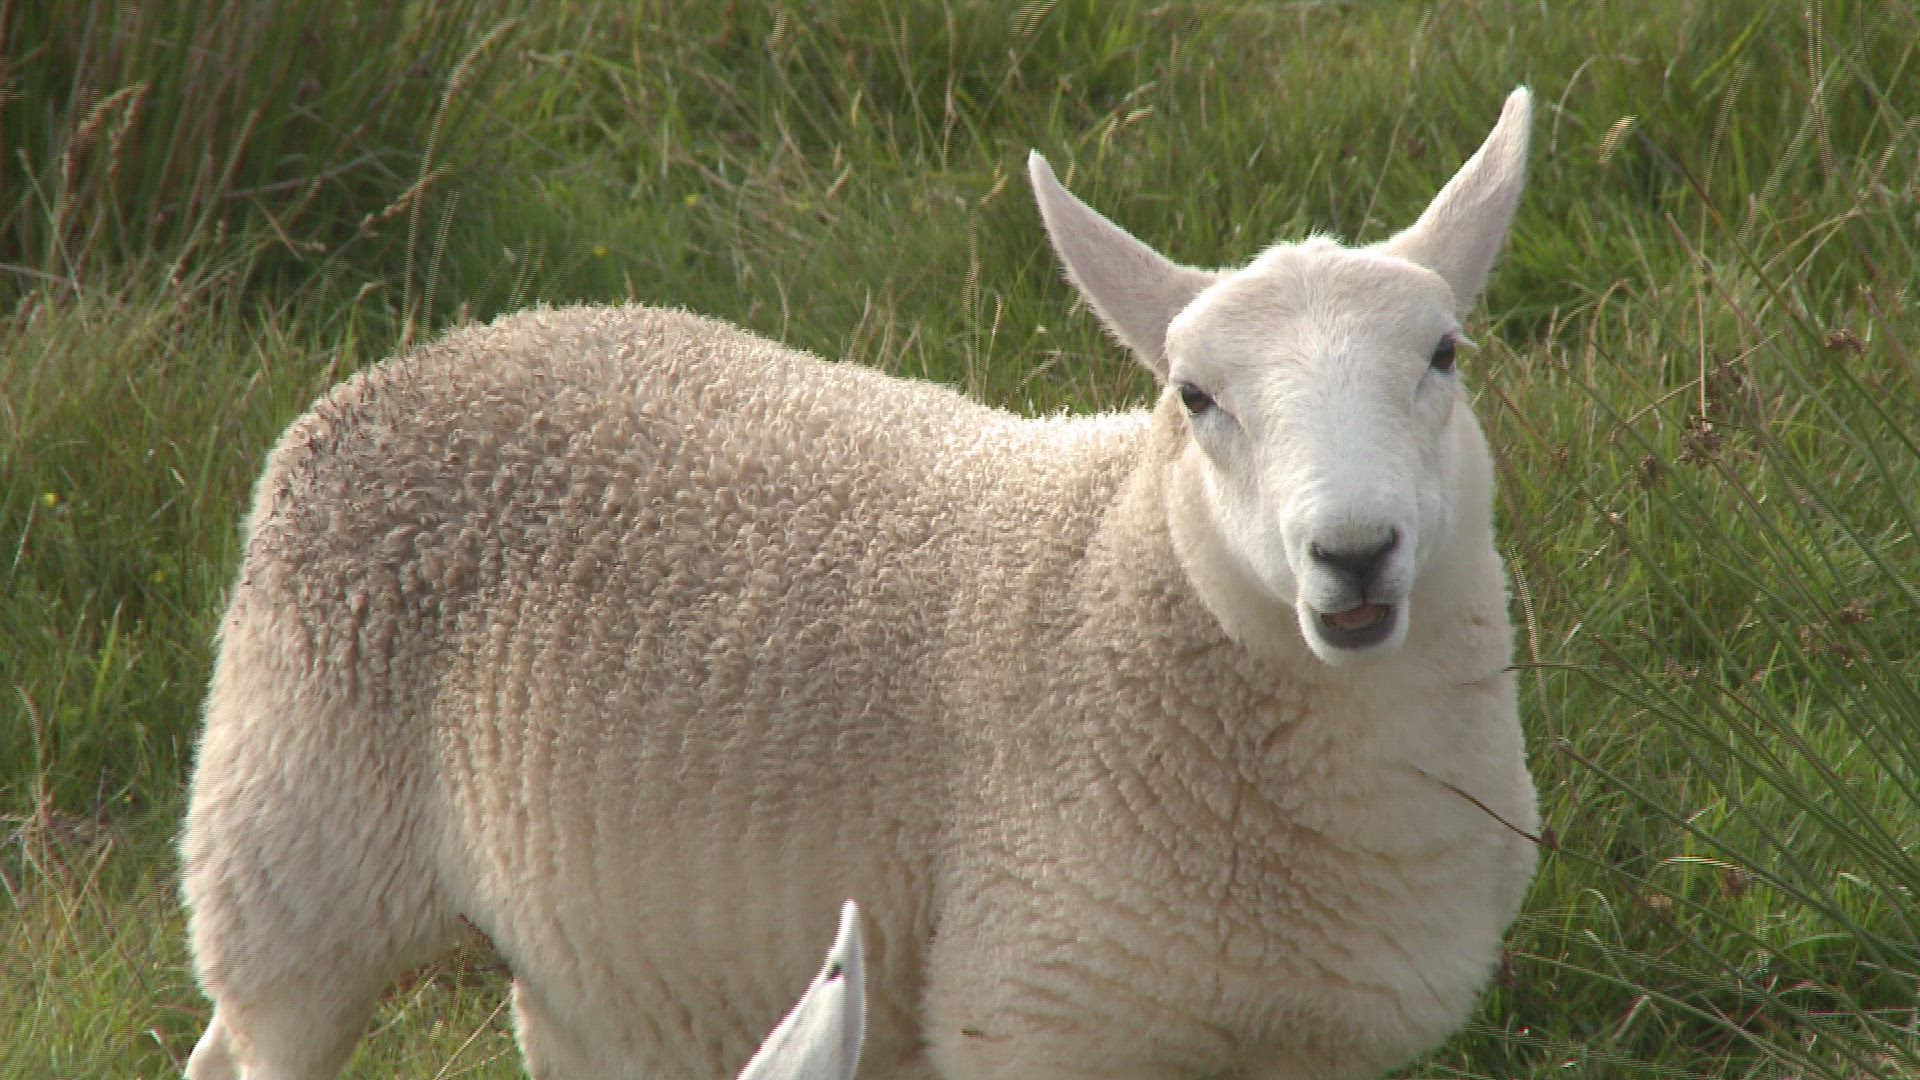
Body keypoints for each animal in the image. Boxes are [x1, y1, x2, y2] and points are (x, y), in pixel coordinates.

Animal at [179, 89, 1540, 1080]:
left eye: (1443, 354)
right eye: (1196, 397)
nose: (1353, 551)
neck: (1103, 579)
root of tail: (422, 356)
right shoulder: (1036, 1020)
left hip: (586, 960)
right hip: (288, 860)